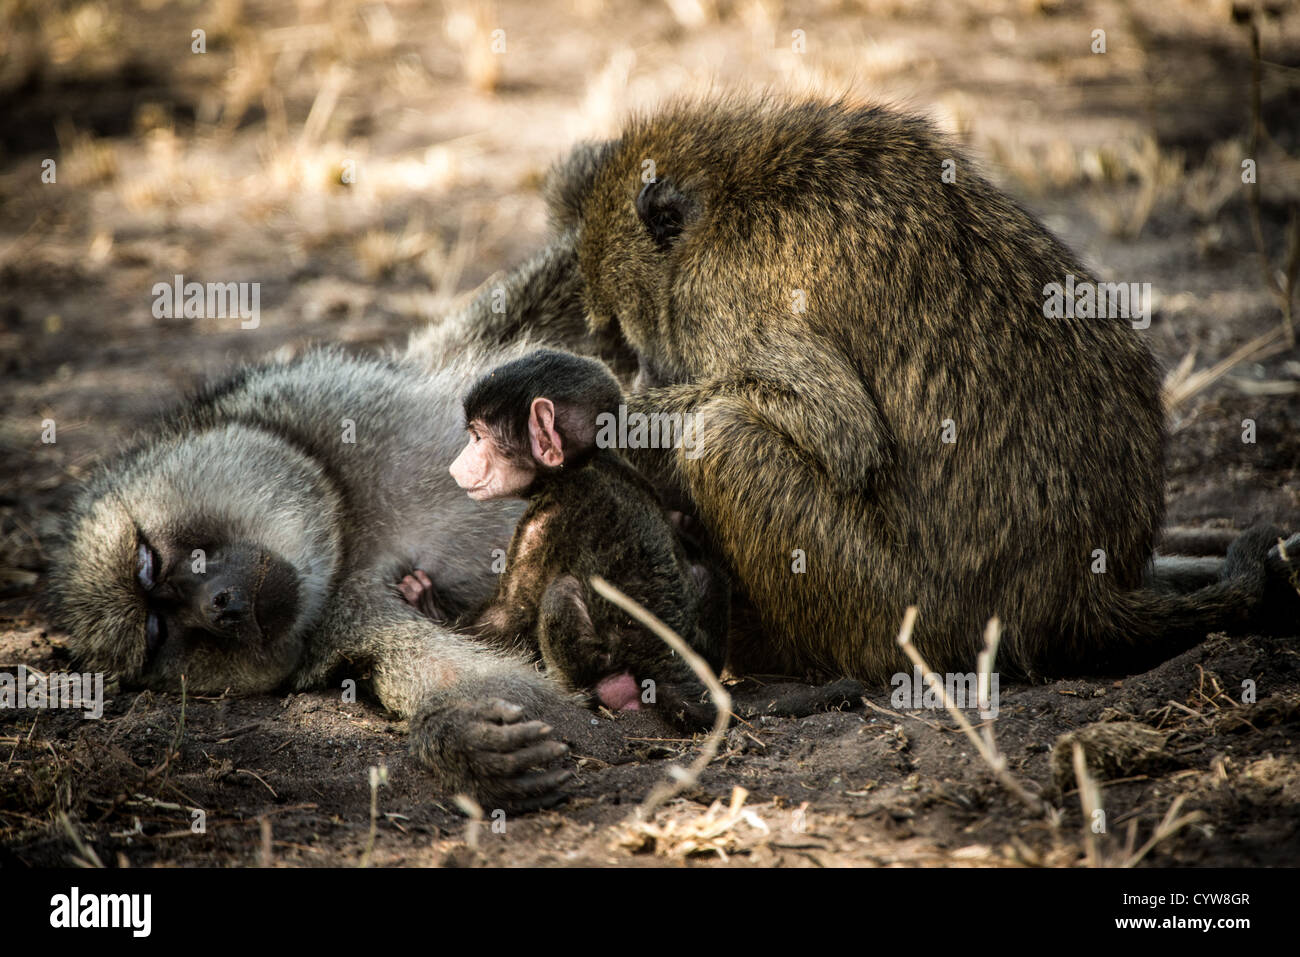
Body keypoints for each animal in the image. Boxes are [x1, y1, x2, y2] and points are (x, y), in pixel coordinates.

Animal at [396, 348, 728, 721]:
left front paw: (428, 607)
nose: (455, 467)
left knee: (561, 592)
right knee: (703, 572)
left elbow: (509, 616)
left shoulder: (547, 518)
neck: (585, 465)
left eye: (478, 437)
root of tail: (670, 669)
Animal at [542, 94, 1300, 685]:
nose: (639, 373)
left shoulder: (725, 295)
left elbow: (839, 430)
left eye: (623, 336)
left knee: (724, 438)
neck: (731, 190)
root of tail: (1082, 592)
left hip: (906, 610)